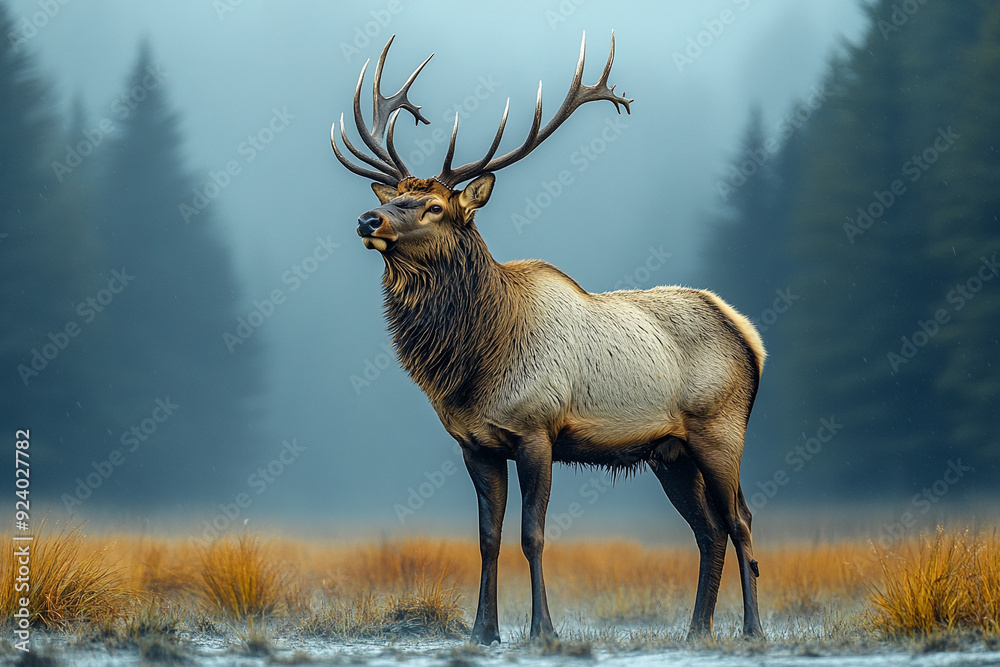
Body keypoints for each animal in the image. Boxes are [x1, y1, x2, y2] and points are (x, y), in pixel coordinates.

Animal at [329, 33, 766, 644]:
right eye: (394, 195)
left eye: (434, 206)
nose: (369, 219)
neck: (473, 363)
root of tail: (748, 335)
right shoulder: (476, 444)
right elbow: (487, 538)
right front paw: (482, 631)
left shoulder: (538, 430)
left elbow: (531, 535)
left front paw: (543, 630)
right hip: (669, 453)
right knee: (709, 530)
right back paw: (696, 630)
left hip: (720, 430)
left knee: (740, 520)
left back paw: (752, 629)